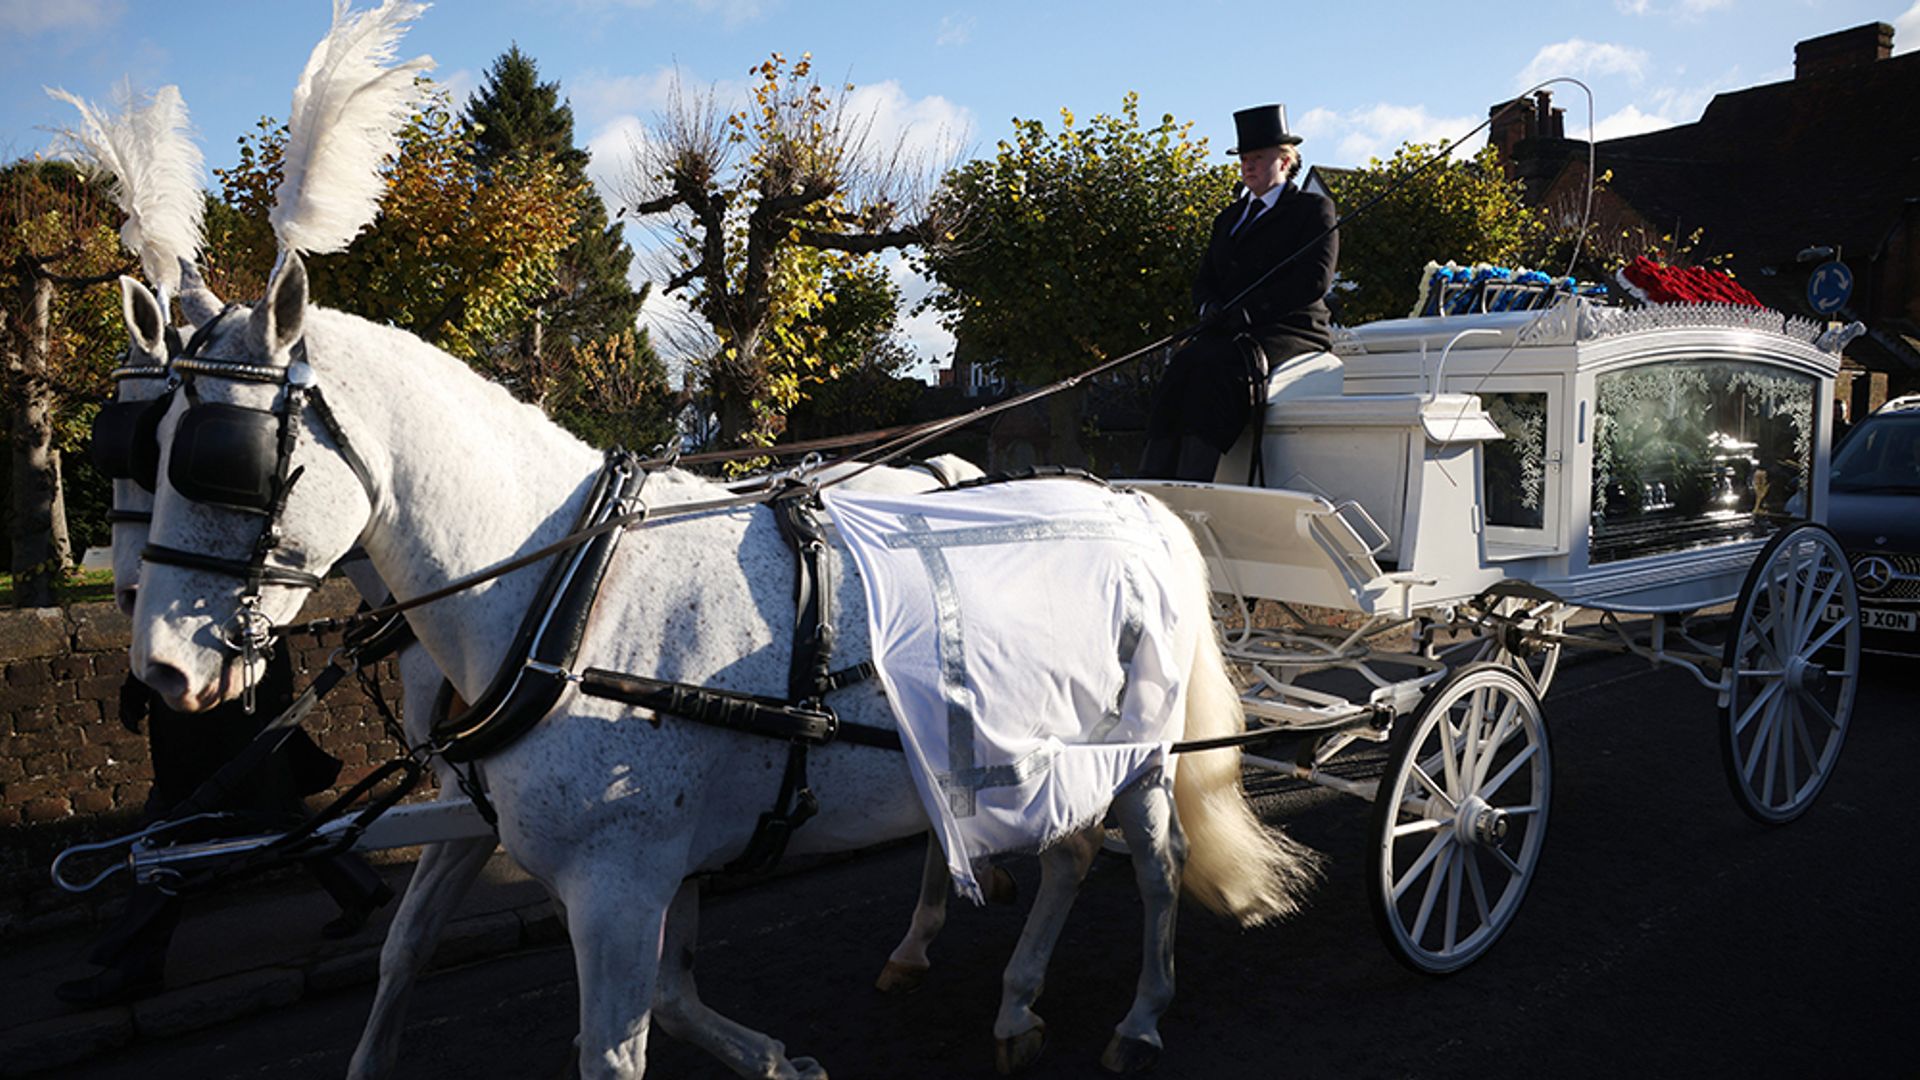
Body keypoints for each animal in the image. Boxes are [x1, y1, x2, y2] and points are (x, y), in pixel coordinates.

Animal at [127, 255, 1313, 1068]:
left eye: (224, 461)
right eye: (144, 447)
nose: (163, 679)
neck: (569, 595)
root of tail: (1132, 503)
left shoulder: (619, 880)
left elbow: (622, 1035)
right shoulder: (548, 836)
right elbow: (416, 950)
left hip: (1140, 751)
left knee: (1154, 863)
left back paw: (1142, 1017)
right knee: (1067, 852)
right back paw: (1013, 997)